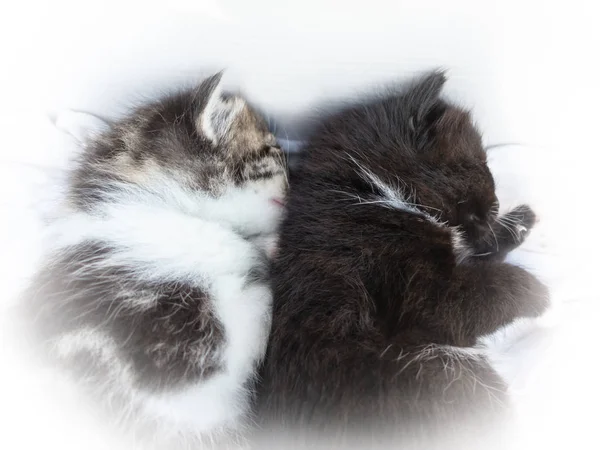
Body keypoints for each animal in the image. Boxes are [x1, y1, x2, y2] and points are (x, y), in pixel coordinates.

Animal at [19, 73, 288, 446]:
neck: (152, 206)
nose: (294, 184)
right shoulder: (185, 372)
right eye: (275, 151)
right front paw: (271, 248)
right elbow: (260, 306)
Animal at [255, 72, 552, 448]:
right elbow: (481, 289)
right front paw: (539, 294)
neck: (374, 191)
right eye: (478, 165)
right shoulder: (425, 294)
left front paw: (519, 221)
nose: (498, 202)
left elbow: (479, 248)